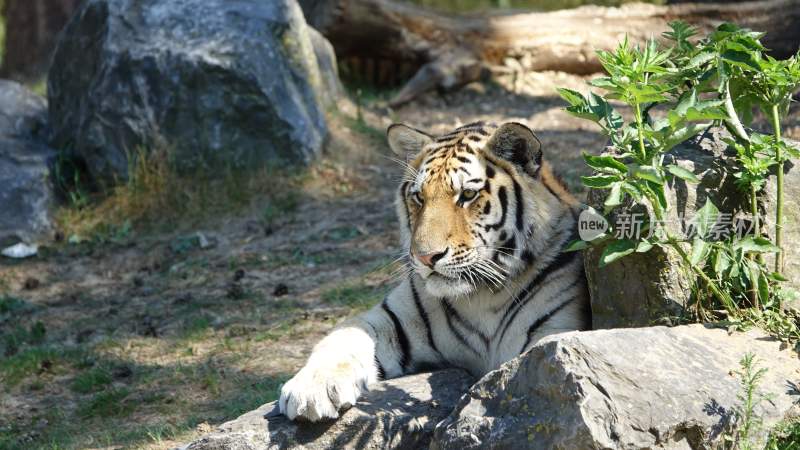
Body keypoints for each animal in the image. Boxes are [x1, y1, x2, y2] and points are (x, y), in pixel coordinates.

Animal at [278, 120, 592, 422]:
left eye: (467, 194)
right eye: (418, 197)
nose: (426, 257)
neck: (484, 295)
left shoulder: (555, 329)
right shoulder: (390, 319)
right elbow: (342, 337)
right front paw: (311, 390)